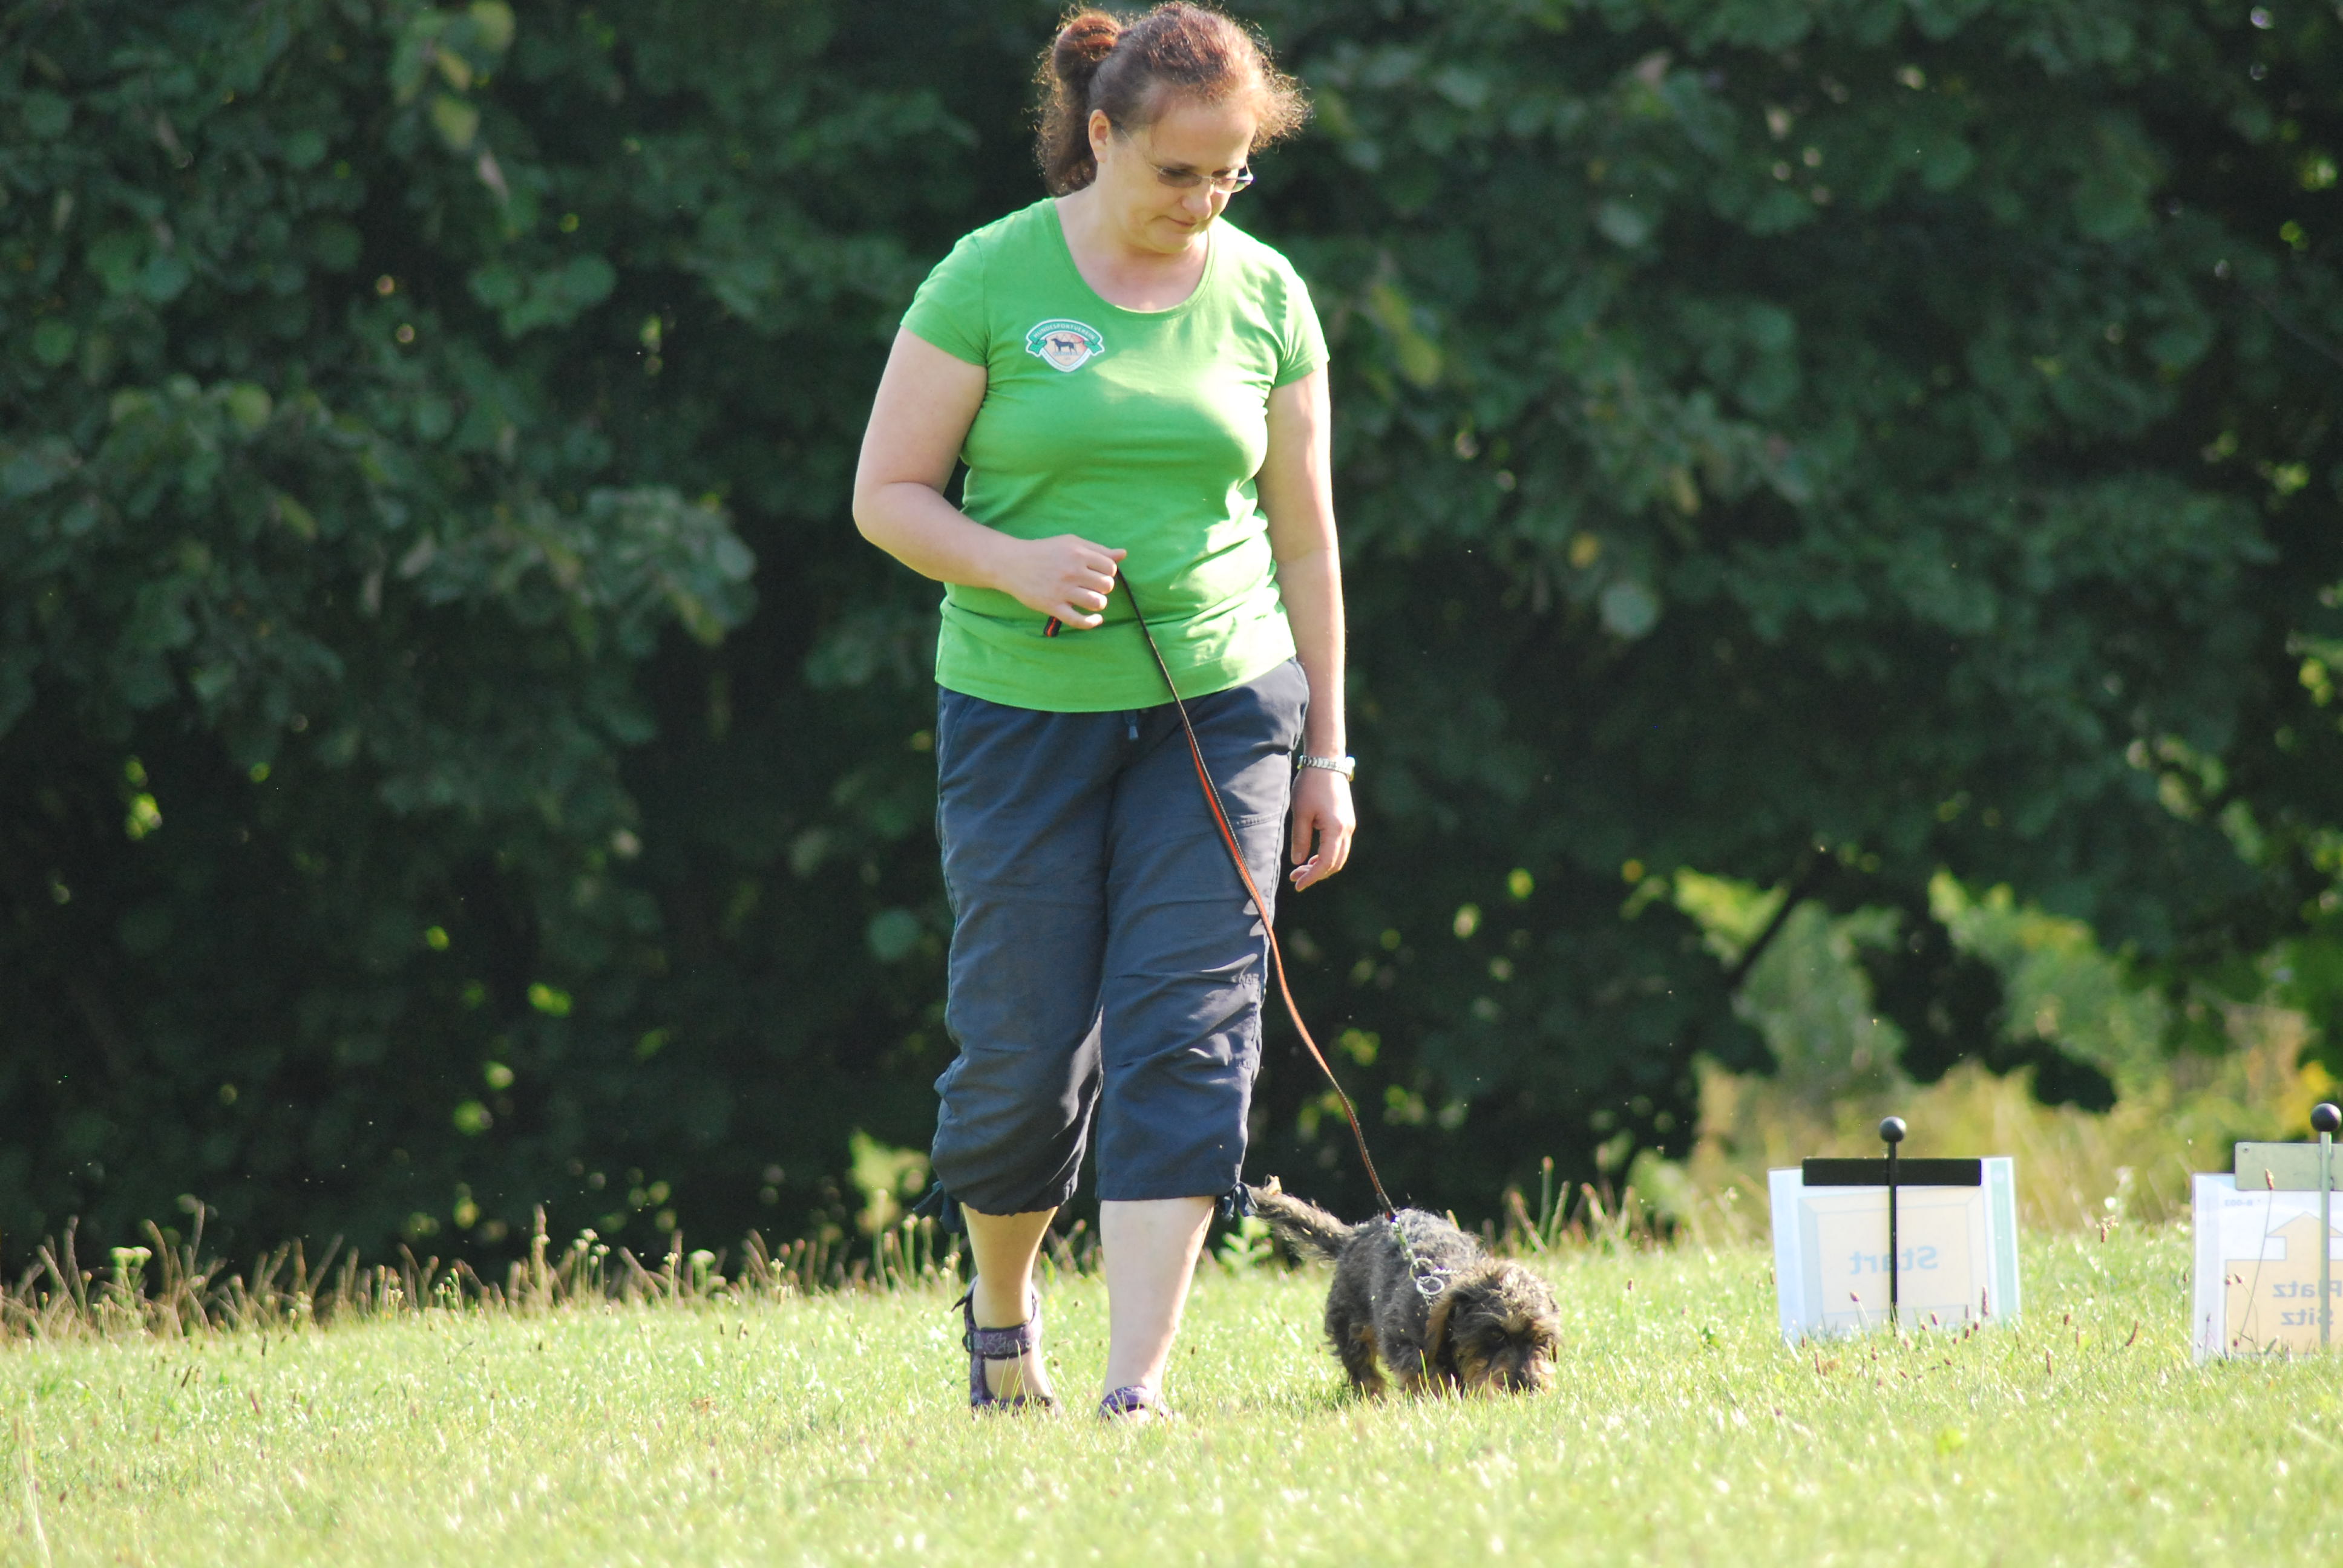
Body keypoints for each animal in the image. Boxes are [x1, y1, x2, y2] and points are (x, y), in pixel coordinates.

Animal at [1250, 1178, 1560, 1397]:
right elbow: (1426, 1378)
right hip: (1351, 1327)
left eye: (1542, 1339)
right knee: (1364, 1373)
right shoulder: (1406, 1347)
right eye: (1496, 1335)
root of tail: (1356, 1234)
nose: (1529, 1386)